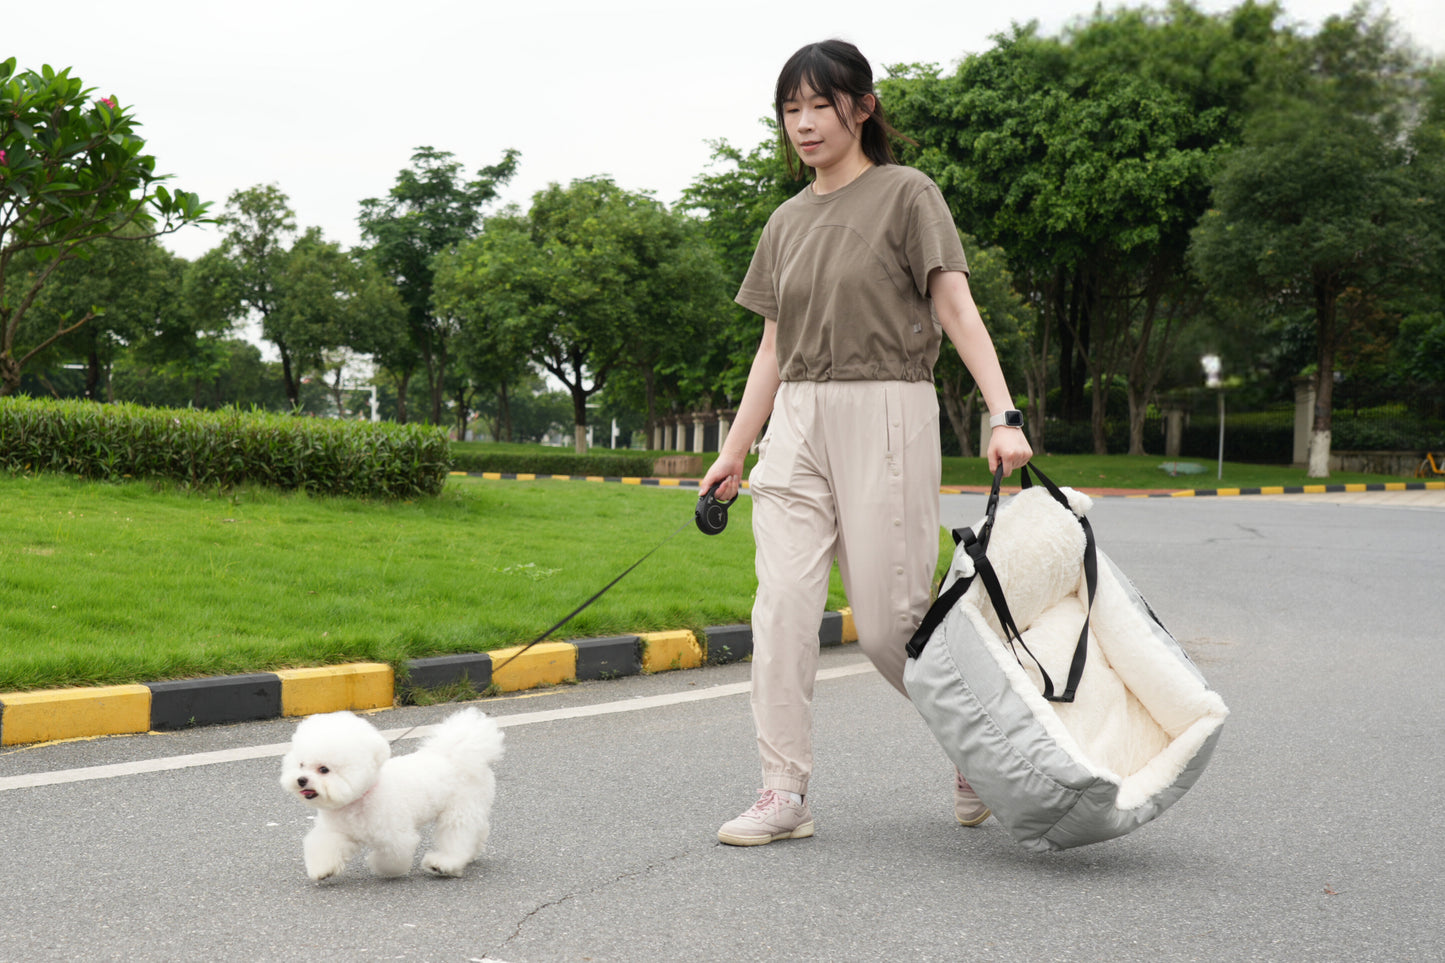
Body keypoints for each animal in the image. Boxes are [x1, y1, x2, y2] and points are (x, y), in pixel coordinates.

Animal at [278, 705, 505, 879]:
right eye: (301, 764)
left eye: (324, 769)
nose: (301, 780)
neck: (362, 798)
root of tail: (455, 754)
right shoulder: (335, 831)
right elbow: (324, 846)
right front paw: (323, 869)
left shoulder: (395, 837)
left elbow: (392, 857)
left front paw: (381, 868)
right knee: (477, 829)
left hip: (459, 809)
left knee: (457, 834)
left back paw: (443, 863)